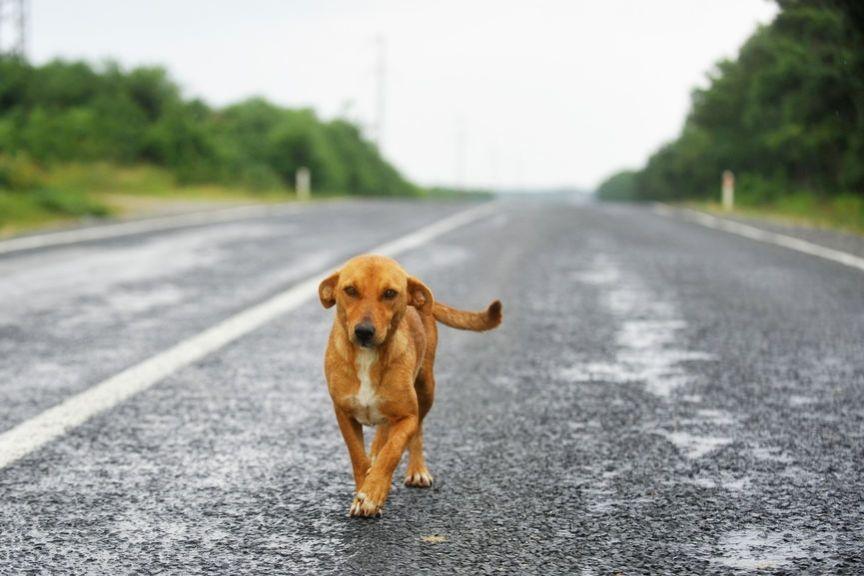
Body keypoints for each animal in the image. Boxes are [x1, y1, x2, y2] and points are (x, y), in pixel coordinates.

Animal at [318, 254, 502, 516]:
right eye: (350, 290)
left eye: (390, 293)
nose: (364, 332)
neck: (367, 358)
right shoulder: (344, 414)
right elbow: (358, 457)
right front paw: (365, 486)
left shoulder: (407, 416)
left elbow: (393, 452)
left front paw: (373, 493)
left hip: (426, 389)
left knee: (416, 433)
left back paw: (416, 471)